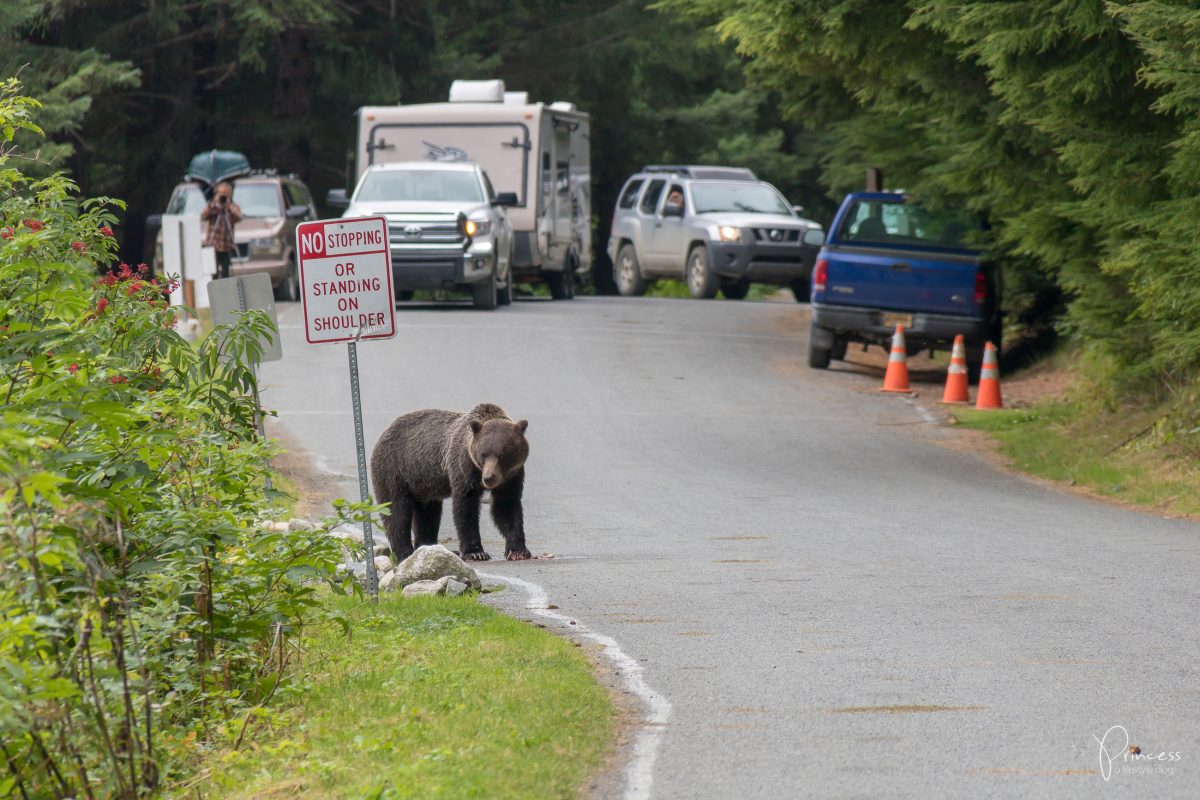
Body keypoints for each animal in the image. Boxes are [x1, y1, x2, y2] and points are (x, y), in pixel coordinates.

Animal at [369, 400, 530, 563]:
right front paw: (476, 552)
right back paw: (405, 552)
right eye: (483, 454)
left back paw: (429, 547)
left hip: (423, 485)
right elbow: (466, 508)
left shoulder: (512, 476)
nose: (488, 478)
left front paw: (518, 551)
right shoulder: (463, 469)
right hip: (395, 469)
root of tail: (384, 433)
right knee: (396, 510)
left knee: (427, 515)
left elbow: (506, 507)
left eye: (502, 455)